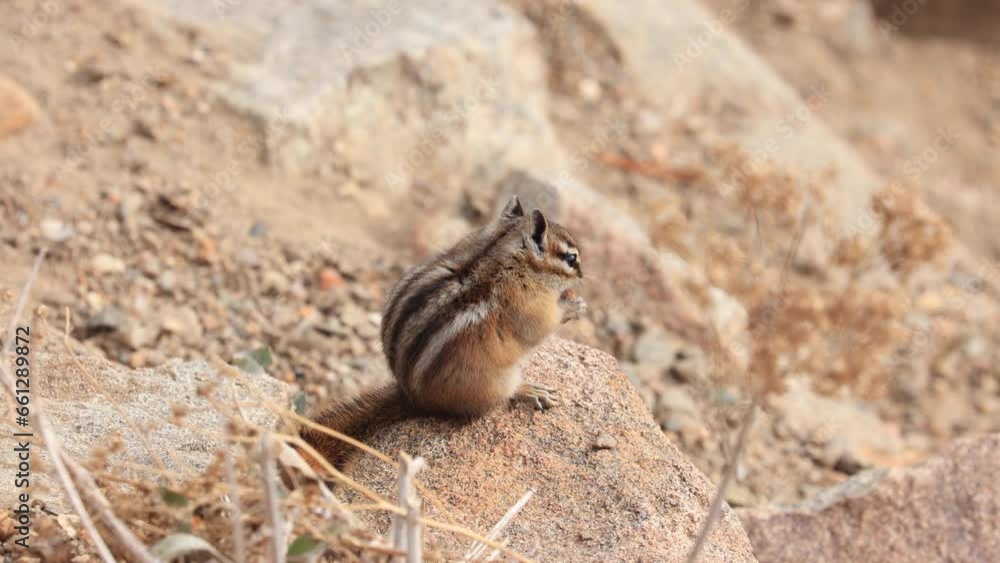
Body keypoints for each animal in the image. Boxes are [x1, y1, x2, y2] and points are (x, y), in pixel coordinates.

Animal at [300, 195, 586, 469]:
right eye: (571, 258)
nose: (583, 275)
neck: (501, 251)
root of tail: (415, 400)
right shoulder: (530, 306)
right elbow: (542, 328)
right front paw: (572, 306)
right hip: (497, 382)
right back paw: (529, 390)